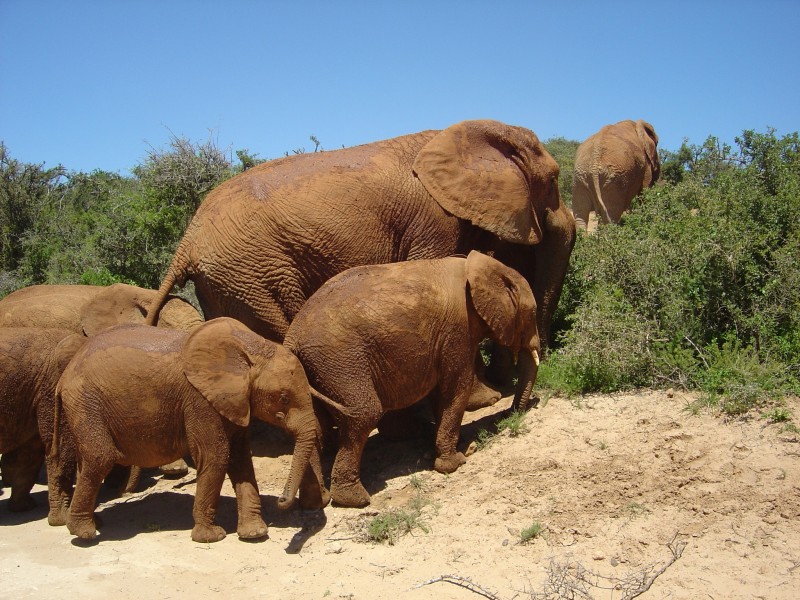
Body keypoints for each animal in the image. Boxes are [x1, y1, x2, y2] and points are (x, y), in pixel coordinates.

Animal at [0, 326, 86, 524]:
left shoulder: (33, 394)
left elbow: (27, 454)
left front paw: (23, 508)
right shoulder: (55, 386)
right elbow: (61, 448)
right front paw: (62, 519)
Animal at [53, 318, 334, 544]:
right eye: (284, 398)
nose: (282, 501)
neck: (251, 348)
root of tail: (64, 375)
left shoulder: (233, 401)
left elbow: (240, 459)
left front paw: (255, 534)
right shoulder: (200, 400)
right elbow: (217, 456)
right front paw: (212, 537)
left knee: (87, 461)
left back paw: (94, 522)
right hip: (86, 401)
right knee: (100, 457)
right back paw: (84, 533)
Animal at [284, 248, 540, 506]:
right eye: (533, 314)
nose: (509, 413)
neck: (481, 267)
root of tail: (291, 338)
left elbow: (441, 391)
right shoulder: (459, 329)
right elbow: (456, 388)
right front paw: (456, 462)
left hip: (316, 370)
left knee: (315, 427)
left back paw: (318, 502)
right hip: (339, 362)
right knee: (364, 413)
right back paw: (356, 500)